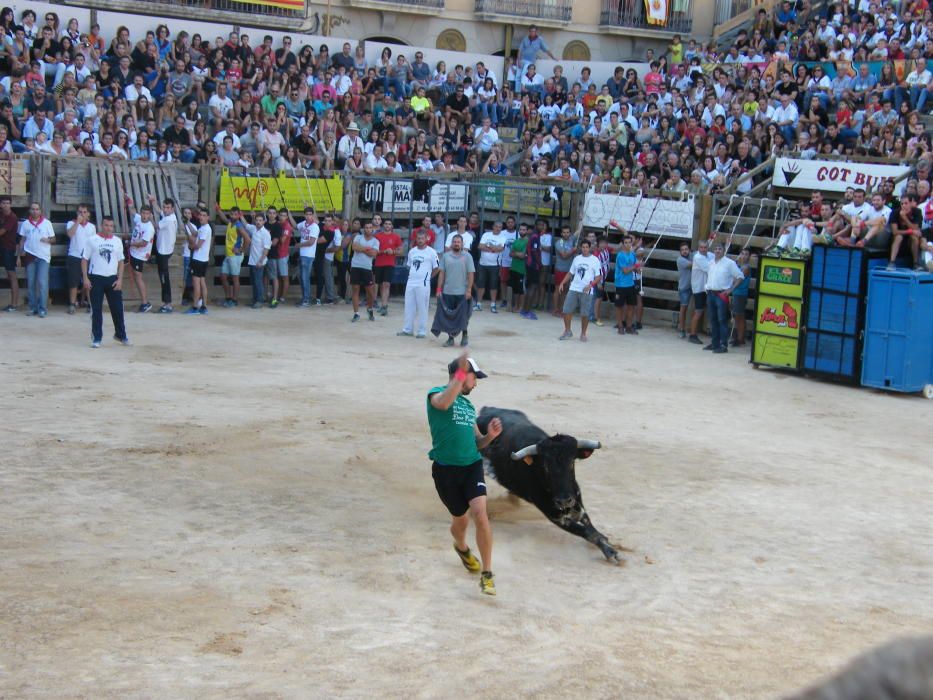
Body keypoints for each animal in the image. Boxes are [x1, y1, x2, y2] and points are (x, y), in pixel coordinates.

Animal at [476, 404, 624, 564]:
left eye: (571, 463)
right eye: (545, 466)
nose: (564, 500)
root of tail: (487, 409)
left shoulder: (576, 501)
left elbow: (589, 525)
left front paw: (605, 541)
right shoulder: (554, 515)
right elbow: (584, 531)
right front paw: (610, 551)